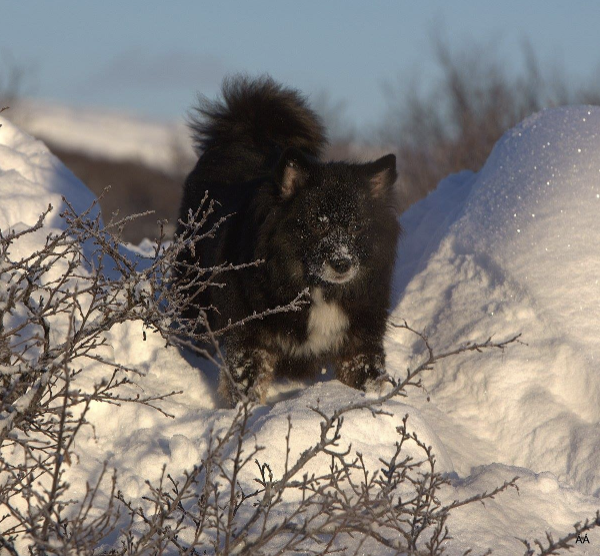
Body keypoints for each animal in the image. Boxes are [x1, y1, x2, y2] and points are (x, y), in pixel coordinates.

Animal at [176, 75, 400, 404]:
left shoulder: (360, 342)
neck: (315, 289)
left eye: (357, 227)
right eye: (317, 224)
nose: (342, 264)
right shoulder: (250, 341)